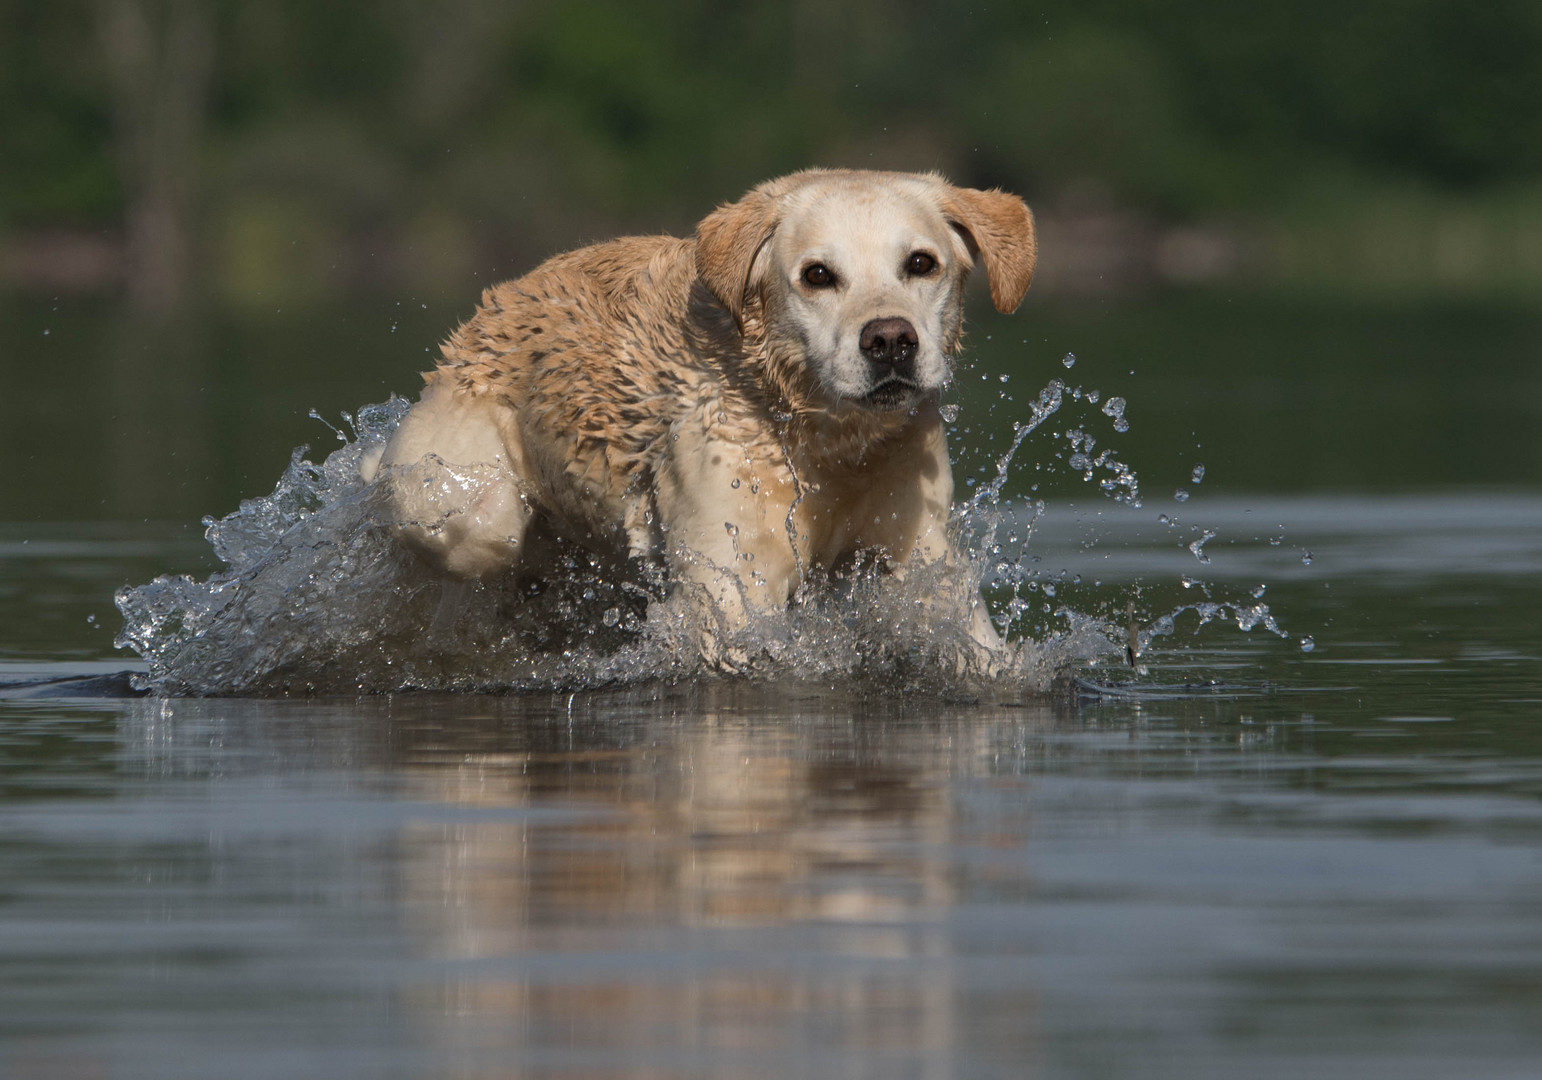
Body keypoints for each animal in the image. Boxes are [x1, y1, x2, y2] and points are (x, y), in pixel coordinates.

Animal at [360, 168, 1036, 666]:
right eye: (818, 275)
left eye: (921, 263)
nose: (891, 341)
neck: (823, 441)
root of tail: (486, 312)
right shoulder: (729, 578)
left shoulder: (918, 543)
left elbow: (966, 633)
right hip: (463, 497)